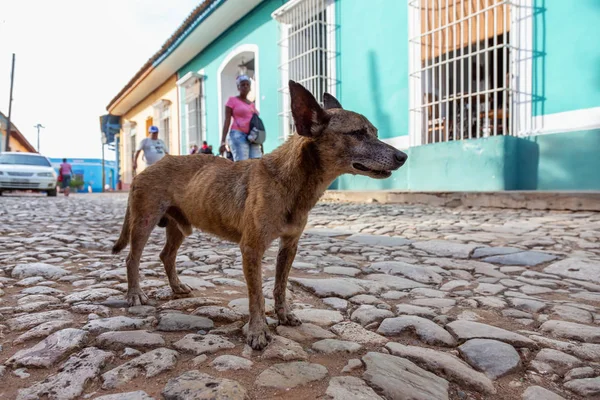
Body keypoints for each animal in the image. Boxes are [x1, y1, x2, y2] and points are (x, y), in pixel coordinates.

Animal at [111, 79, 408, 348]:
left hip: (179, 227)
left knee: (166, 256)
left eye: (375, 131)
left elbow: (279, 286)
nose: (403, 156)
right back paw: (134, 294)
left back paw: (176, 287)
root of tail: (147, 168)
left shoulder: (289, 245)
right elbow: (256, 295)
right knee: (131, 259)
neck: (291, 182)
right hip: (144, 222)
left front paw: (283, 315)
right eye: (358, 133)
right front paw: (257, 331)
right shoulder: (251, 249)